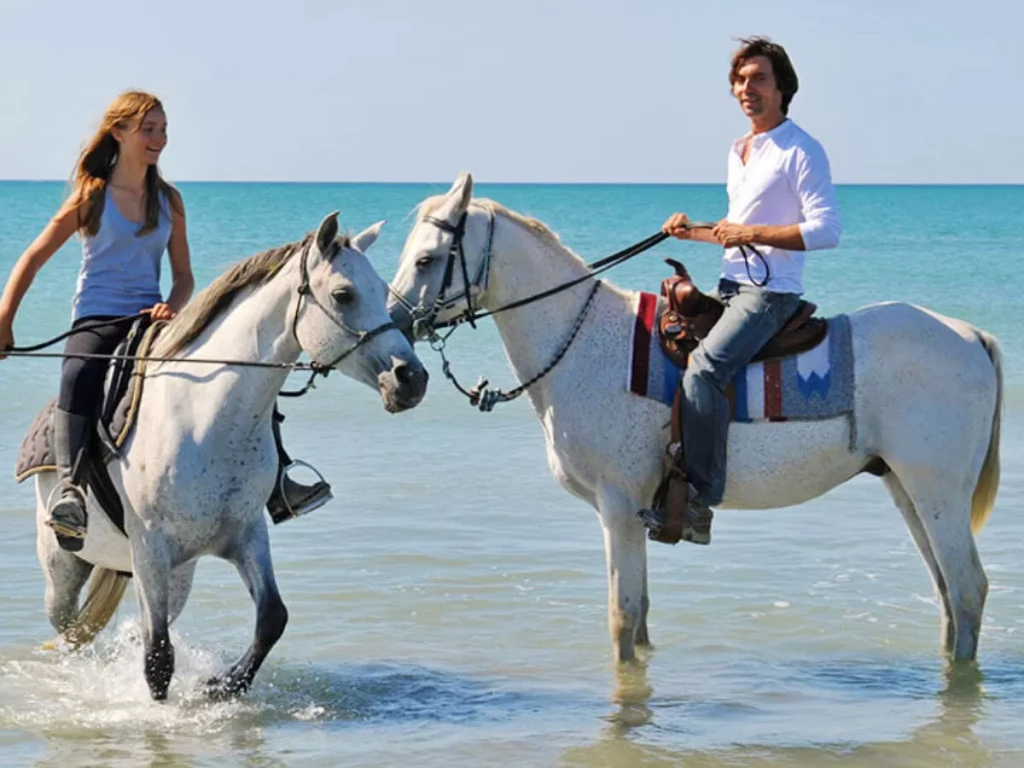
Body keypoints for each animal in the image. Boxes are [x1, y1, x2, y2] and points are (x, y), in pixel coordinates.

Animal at [30, 213, 428, 700]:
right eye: (343, 294)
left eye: (380, 289)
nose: (411, 378)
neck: (207, 418)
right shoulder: (150, 547)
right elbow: (158, 659)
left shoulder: (246, 534)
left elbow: (271, 618)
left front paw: (220, 686)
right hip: (66, 565)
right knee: (71, 629)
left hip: (177, 574)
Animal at [386, 173, 1002, 665]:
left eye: (426, 259)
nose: (394, 330)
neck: (582, 340)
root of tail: (971, 335)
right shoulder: (634, 512)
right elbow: (641, 615)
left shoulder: (619, 508)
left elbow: (622, 619)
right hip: (906, 488)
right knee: (947, 594)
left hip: (937, 492)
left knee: (967, 588)